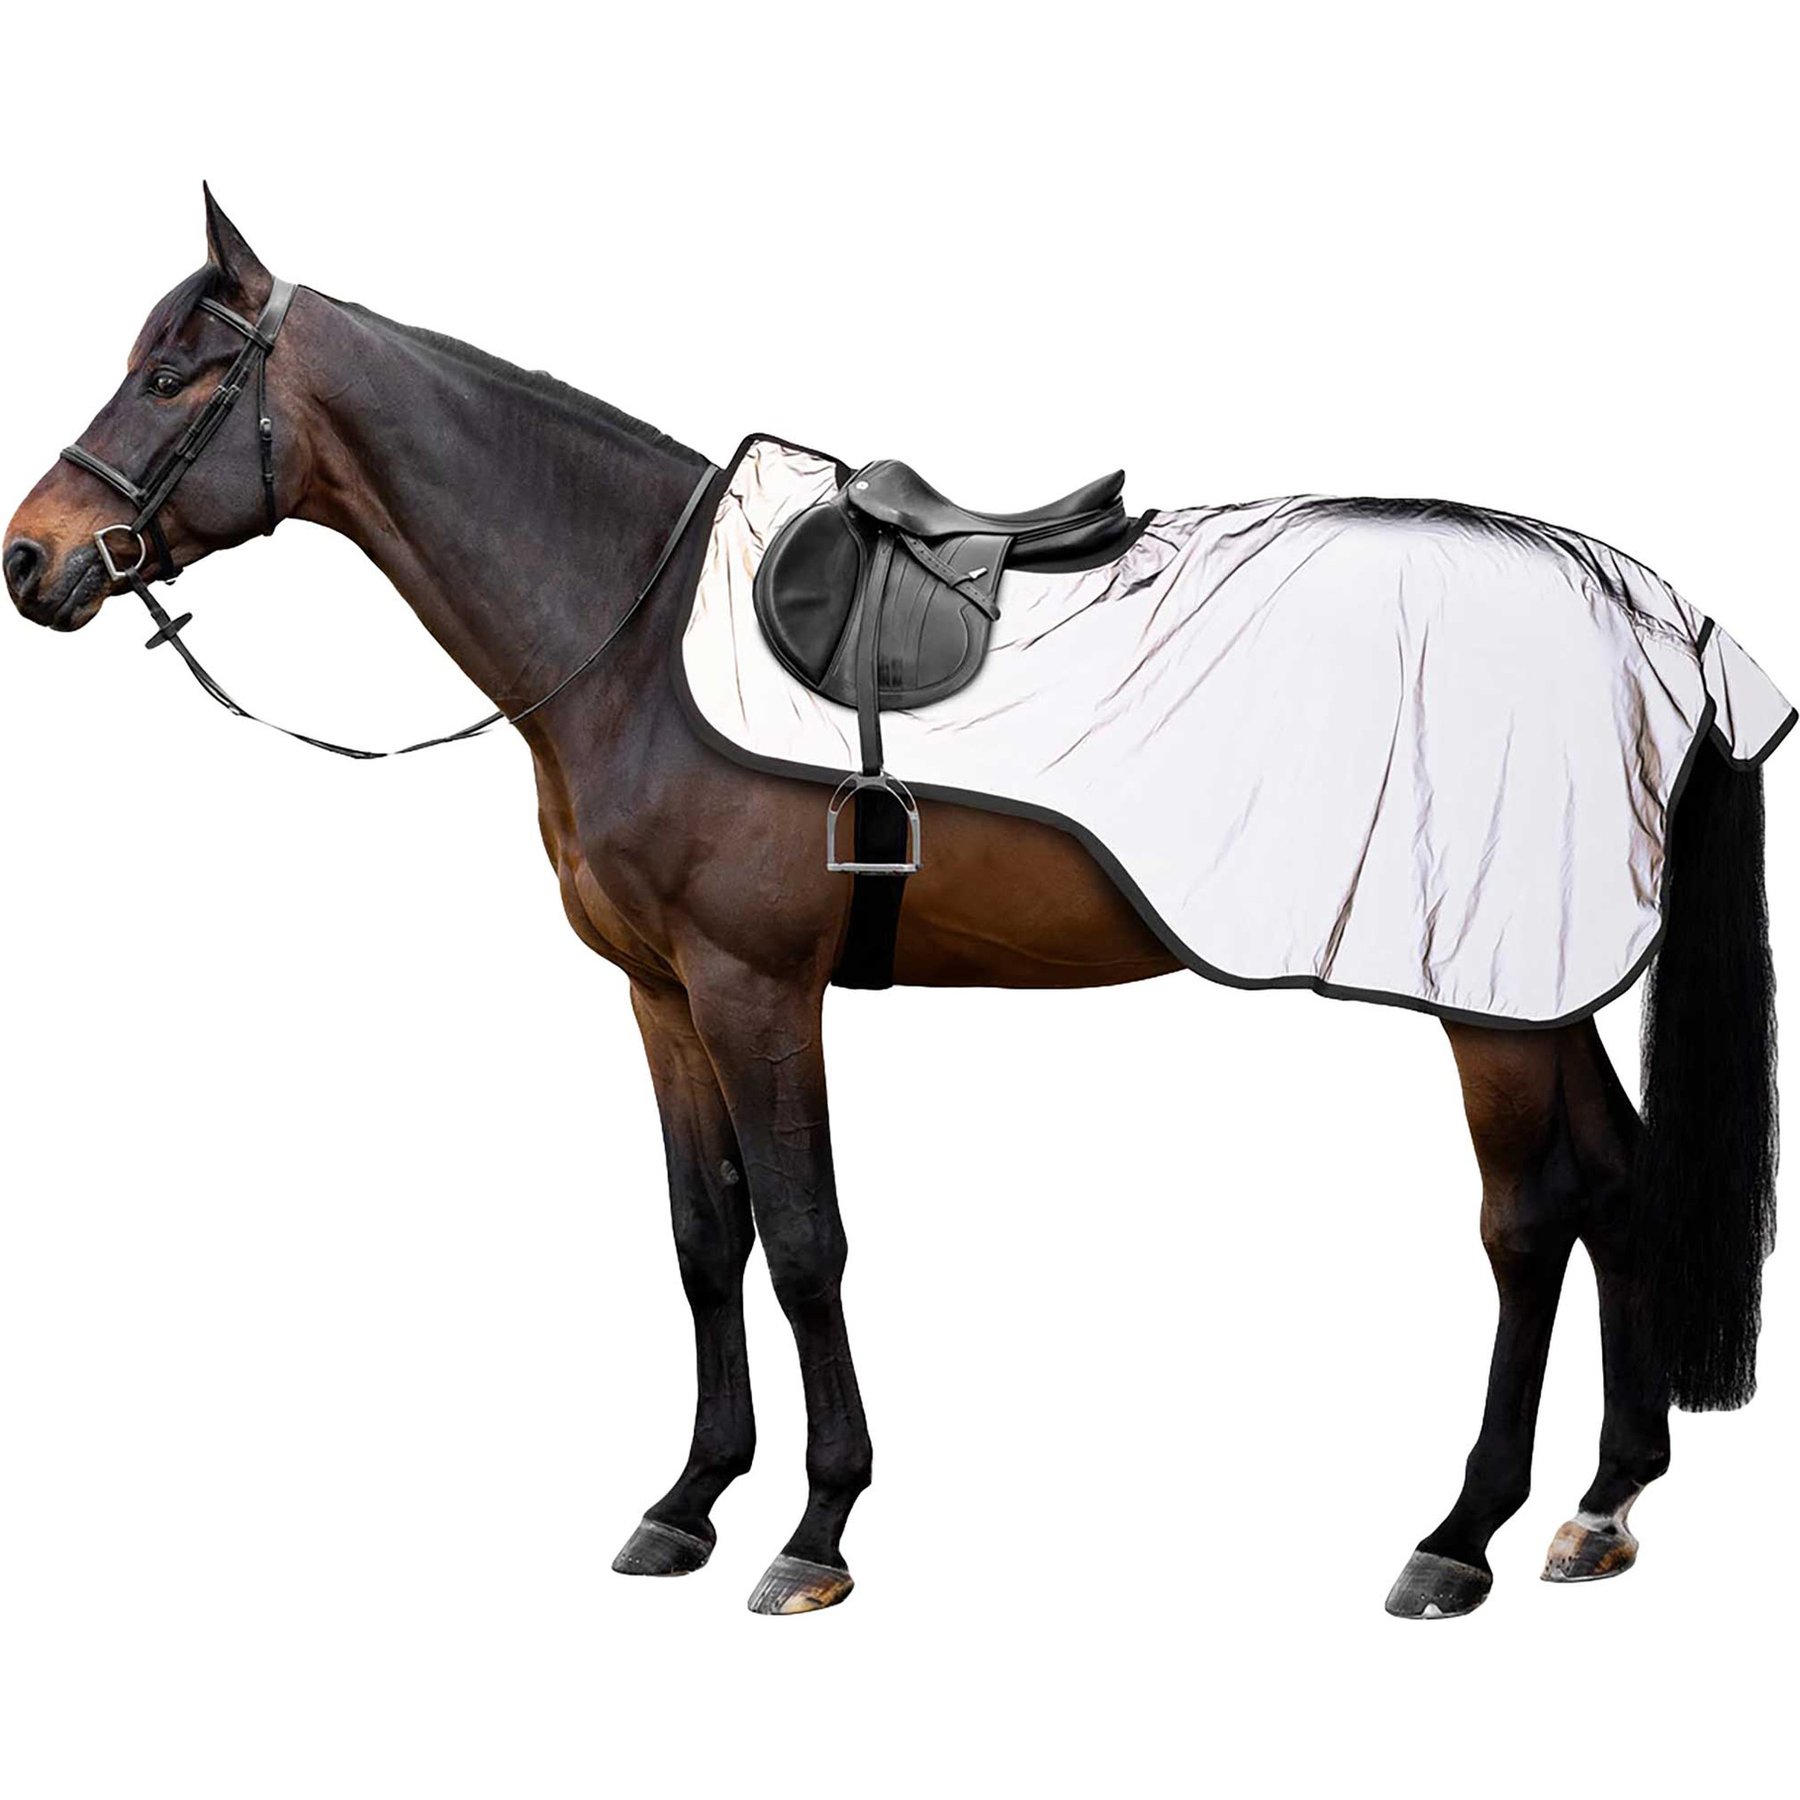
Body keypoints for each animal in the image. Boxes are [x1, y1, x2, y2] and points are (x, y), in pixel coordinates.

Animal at [5, 189, 1780, 1619]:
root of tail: (1662, 615)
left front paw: (816, 1531)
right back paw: (1602, 1507)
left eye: (174, 376)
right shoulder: (661, 995)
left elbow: (805, 1243)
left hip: (1485, 998)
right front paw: (687, 1503)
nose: (34, 560)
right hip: (1534, 985)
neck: (630, 632)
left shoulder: (755, 986)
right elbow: (703, 1238)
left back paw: (1461, 1534)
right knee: (1617, 1185)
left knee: (1529, 1219)